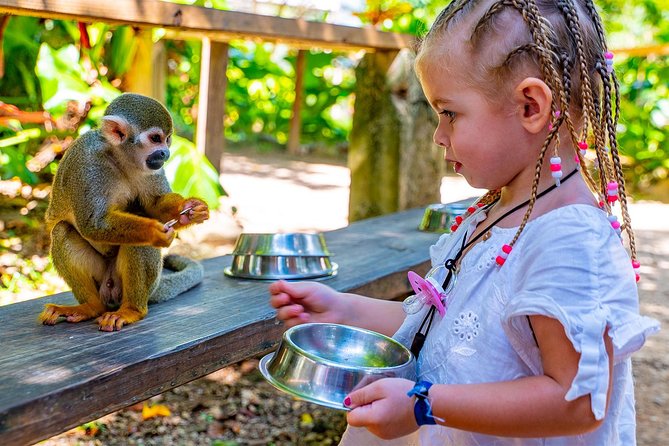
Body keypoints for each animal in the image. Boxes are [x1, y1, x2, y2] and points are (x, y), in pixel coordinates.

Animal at [39, 93, 210, 331]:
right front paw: (154, 231)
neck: (120, 158)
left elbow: (155, 204)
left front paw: (190, 209)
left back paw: (131, 309)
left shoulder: (152, 167)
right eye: (156, 138)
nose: (166, 153)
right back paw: (92, 307)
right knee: (63, 230)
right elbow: (93, 223)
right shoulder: (88, 164)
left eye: (167, 139)